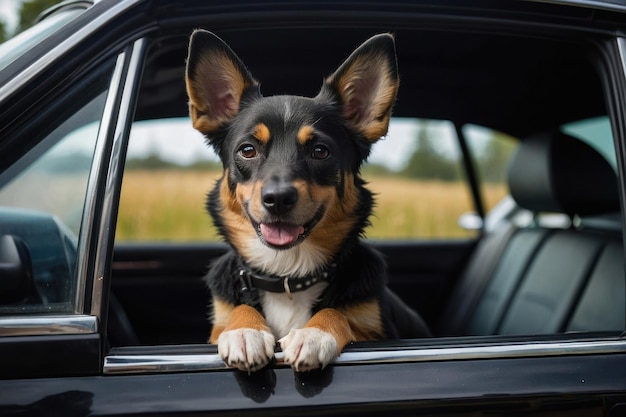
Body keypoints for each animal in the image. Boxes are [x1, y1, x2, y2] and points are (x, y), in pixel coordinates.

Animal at [184, 30, 428, 372]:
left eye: (320, 151)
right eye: (248, 150)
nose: (278, 198)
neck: (288, 274)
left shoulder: (377, 329)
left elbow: (336, 311)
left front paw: (315, 333)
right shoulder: (218, 322)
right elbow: (237, 312)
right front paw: (245, 330)